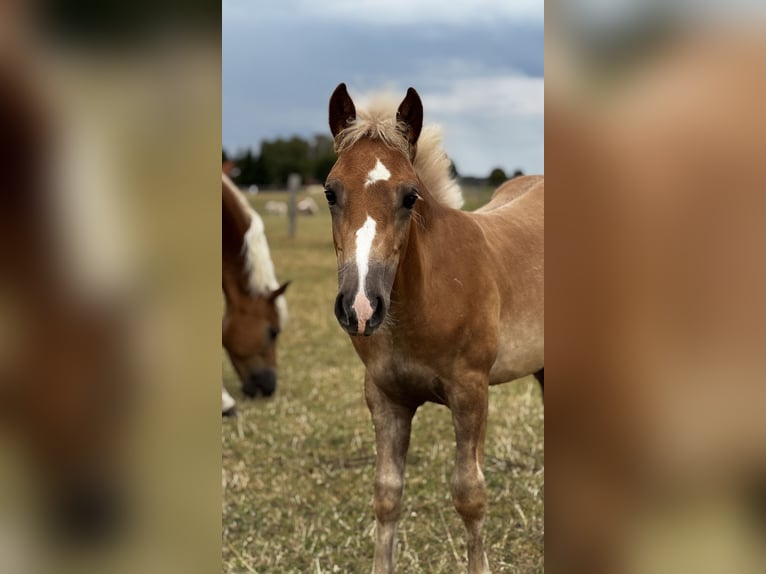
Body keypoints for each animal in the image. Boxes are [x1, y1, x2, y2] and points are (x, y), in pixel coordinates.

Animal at [324, 84, 544, 573]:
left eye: (410, 196)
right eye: (330, 192)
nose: (361, 306)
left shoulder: (471, 392)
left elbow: (470, 495)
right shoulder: (385, 399)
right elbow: (386, 495)